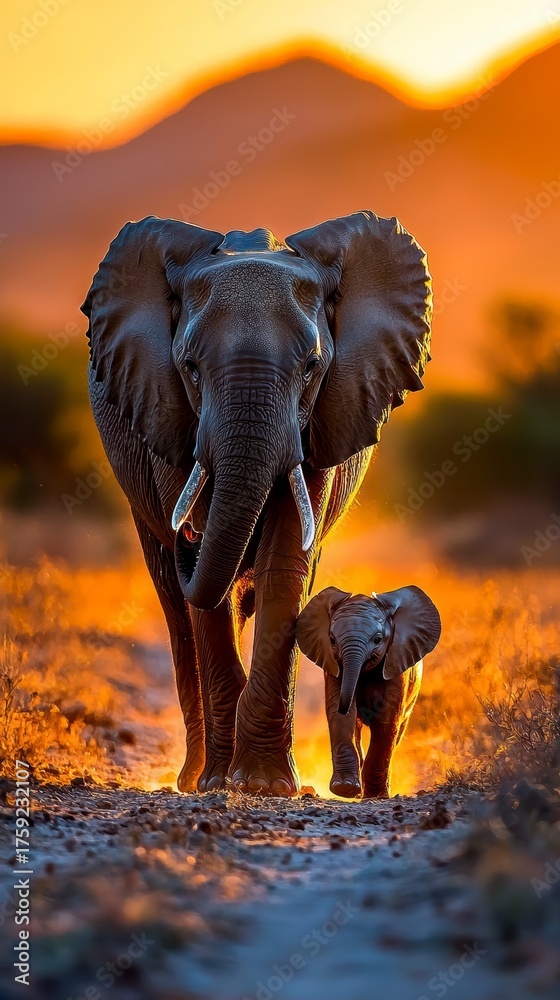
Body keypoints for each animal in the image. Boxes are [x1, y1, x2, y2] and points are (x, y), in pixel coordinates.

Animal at [296, 585, 441, 798]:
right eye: (332, 640)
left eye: (378, 640)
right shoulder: (333, 667)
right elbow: (341, 717)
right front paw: (346, 788)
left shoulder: (397, 665)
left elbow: (387, 720)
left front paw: (376, 795)